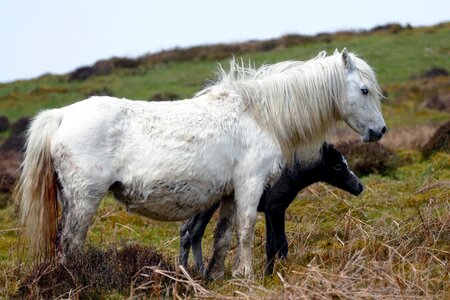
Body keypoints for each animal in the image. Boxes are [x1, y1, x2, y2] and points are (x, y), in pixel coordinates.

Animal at [178, 143, 362, 274]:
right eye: (337, 166)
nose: (359, 186)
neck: (289, 172)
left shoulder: (270, 210)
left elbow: (271, 245)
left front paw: (268, 274)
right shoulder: (275, 208)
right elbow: (281, 244)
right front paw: (282, 273)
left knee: (187, 230)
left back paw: (185, 271)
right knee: (194, 231)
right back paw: (200, 272)